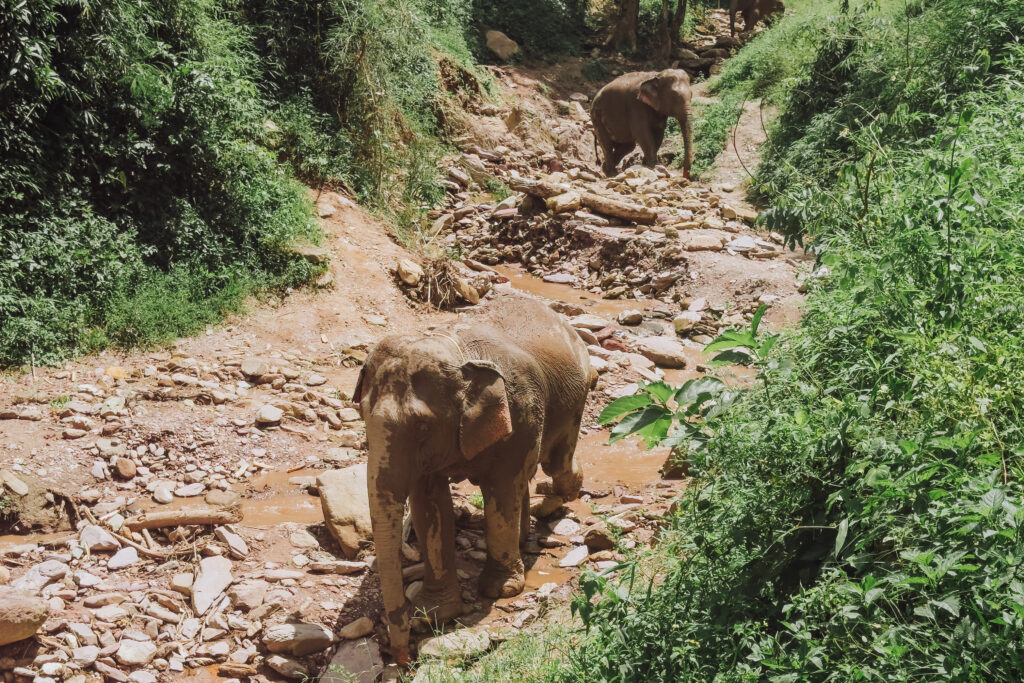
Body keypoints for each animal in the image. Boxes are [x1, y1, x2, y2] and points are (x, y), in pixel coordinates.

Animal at [354, 296, 592, 664]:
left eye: (422, 426)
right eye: (363, 414)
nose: (400, 657)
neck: (453, 347)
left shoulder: (521, 412)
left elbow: (501, 491)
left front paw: (501, 590)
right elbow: (429, 505)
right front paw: (432, 612)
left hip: (573, 401)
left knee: (555, 463)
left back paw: (560, 496)